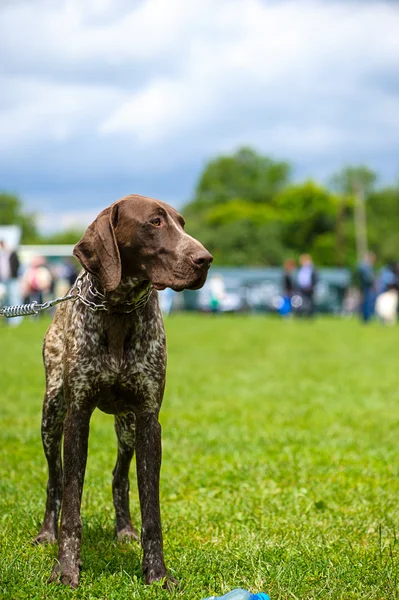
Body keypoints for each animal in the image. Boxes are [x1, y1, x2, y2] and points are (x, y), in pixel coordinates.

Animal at [34, 195, 214, 588]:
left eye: (181, 222)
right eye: (155, 222)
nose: (205, 259)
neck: (118, 309)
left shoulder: (147, 420)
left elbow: (152, 510)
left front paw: (157, 573)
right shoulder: (77, 417)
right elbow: (71, 502)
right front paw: (66, 569)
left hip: (127, 425)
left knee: (119, 477)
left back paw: (124, 529)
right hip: (51, 415)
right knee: (55, 480)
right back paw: (46, 533)